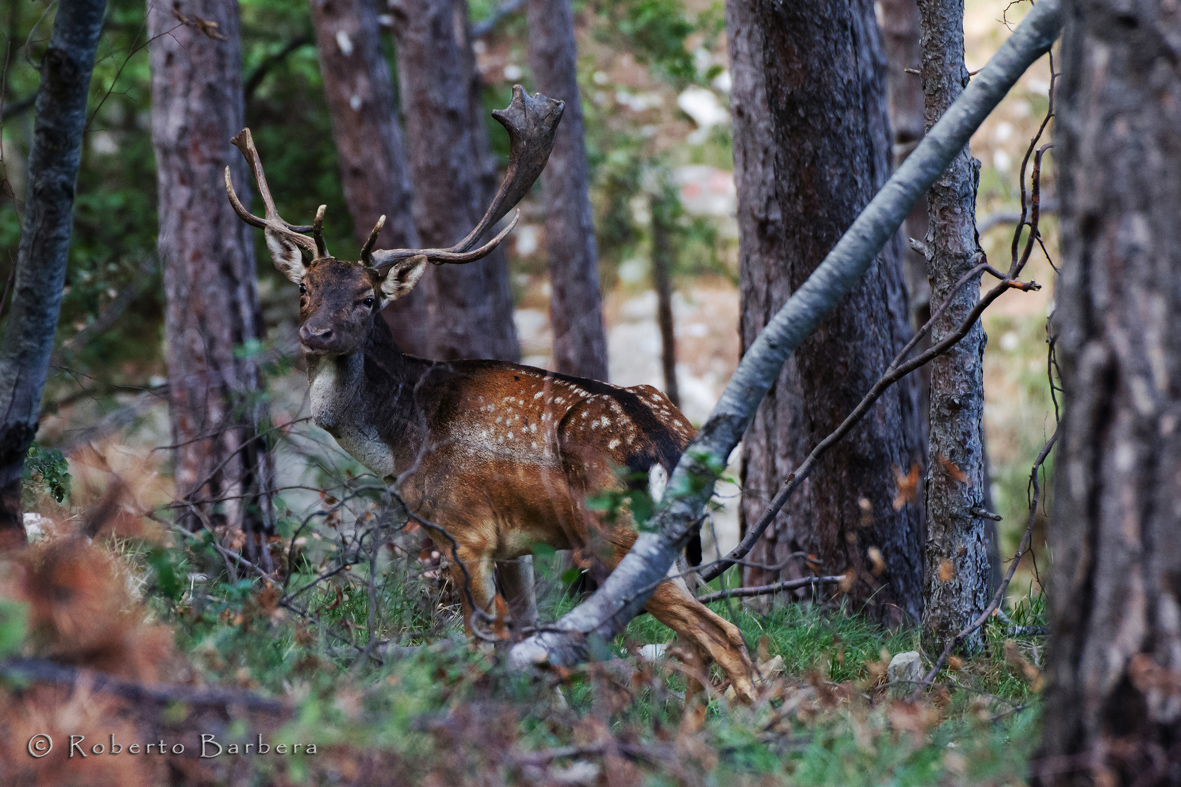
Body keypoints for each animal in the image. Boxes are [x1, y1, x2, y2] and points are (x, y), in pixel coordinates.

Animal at [223, 85, 755, 699]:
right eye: (305, 288)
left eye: (367, 298)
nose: (316, 334)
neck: (401, 441)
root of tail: (669, 445)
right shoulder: (514, 544)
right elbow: (523, 631)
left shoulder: (462, 530)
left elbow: (485, 638)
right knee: (697, 643)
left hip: (617, 537)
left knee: (723, 634)